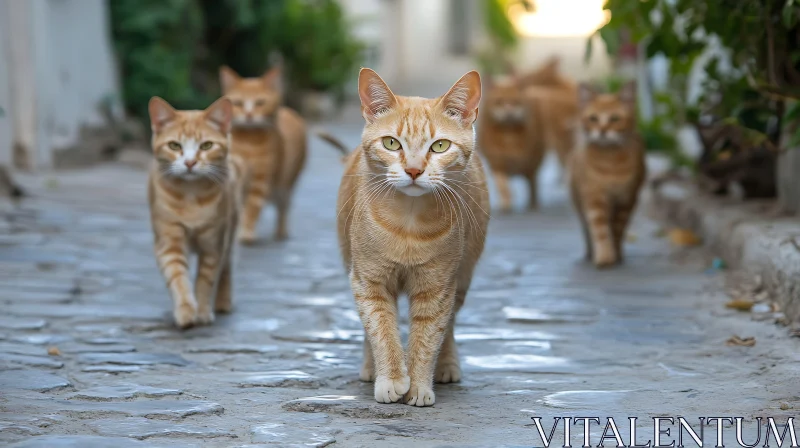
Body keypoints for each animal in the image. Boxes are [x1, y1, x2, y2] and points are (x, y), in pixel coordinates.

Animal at [145, 96, 242, 328]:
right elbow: (178, 277)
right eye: (174, 145)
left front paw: (204, 311)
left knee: (227, 268)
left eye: (206, 145)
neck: (191, 197)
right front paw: (186, 311)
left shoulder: (214, 244)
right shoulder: (168, 241)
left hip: (231, 230)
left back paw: (223, 301)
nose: (190, 162)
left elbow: (206, 281)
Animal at [220, 65, 308, 243]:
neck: (248, 142)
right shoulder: (236, 176)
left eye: (260, 103)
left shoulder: (260, 180)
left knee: (283, 207)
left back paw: (281, 232)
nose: (248, 115)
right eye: (238, 103)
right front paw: (240, 231)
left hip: (284, 186)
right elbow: (240, 208)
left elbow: (252, 208)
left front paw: (247, 232)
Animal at [336, 68, 488, 408]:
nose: (415, 170)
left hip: (464, 276)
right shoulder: (369, 281)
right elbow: (381, 330)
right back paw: (370, 366)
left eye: (440, 146)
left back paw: (446, 365)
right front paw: (391, 378)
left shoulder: (438, 287)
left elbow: (428, 337)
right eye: (391, 143)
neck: (408, 224)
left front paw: (418, 385)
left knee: (451, 326)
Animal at [478, 75, 548, 212]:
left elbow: (532, 183)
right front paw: (506, 204)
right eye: (499, 102)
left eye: (516, 102)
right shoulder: (497, 164)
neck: (508, 134)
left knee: (532, 182)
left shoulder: (528, 162)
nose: (509, 112)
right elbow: (503, 187)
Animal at [572, 82, 648, 268]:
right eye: (593, 118)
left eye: (614, 118)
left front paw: (616, 253)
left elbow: (617, 229)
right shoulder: (594, 197)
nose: (602, 130)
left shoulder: (627, 198)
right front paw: (605, 256)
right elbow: (600, 230)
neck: (610, 164)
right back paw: (590, 252)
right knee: (587, 229)